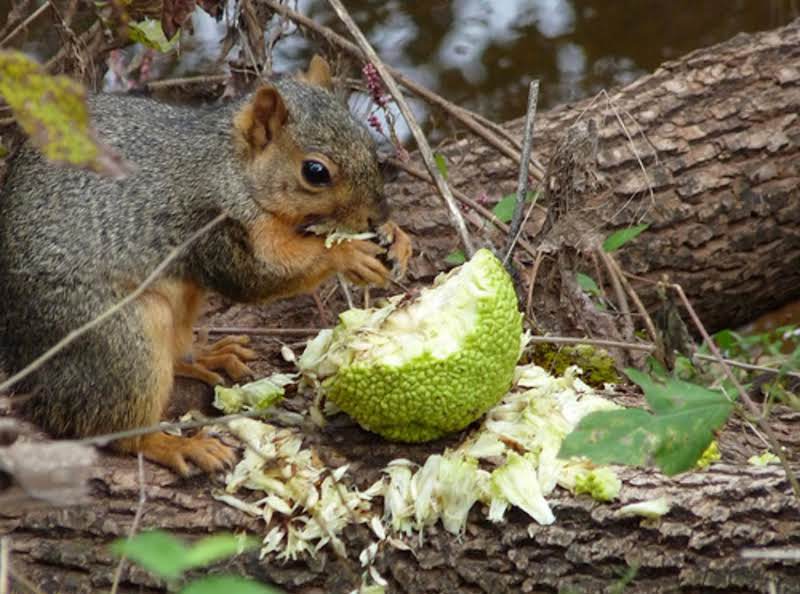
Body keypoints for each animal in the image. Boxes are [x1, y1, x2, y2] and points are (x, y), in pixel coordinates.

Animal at [0, 54, 412, 472]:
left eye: (368, 143)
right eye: (315, 172)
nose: (377, 215)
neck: (229, 166)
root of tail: (25, 372)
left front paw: (397, 237)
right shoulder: (211, 224)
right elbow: (259, 277)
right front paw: (348, 253)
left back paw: (208, 356)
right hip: (117, 340)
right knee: (113, 429)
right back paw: (176, 445)